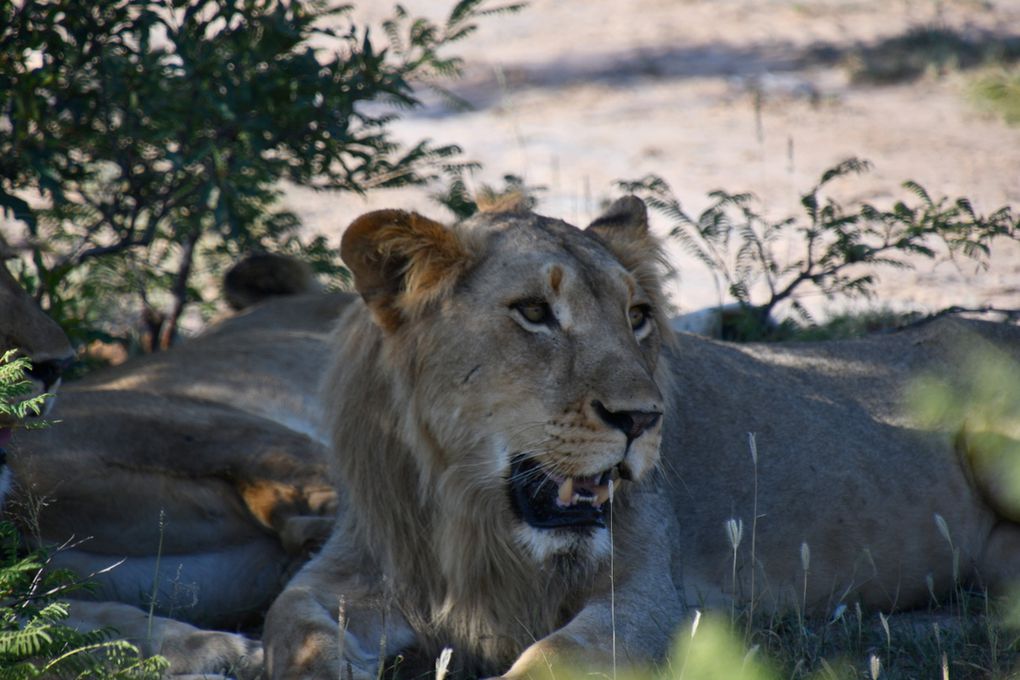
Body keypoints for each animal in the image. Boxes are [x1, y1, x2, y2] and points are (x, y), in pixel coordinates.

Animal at [261, 200, 1020, 680]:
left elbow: (552, 659)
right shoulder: (352, 568)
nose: (643, 420)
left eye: (637, 315)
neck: (470, 523)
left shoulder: (653, 598)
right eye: (533, 312)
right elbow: (289, 624)